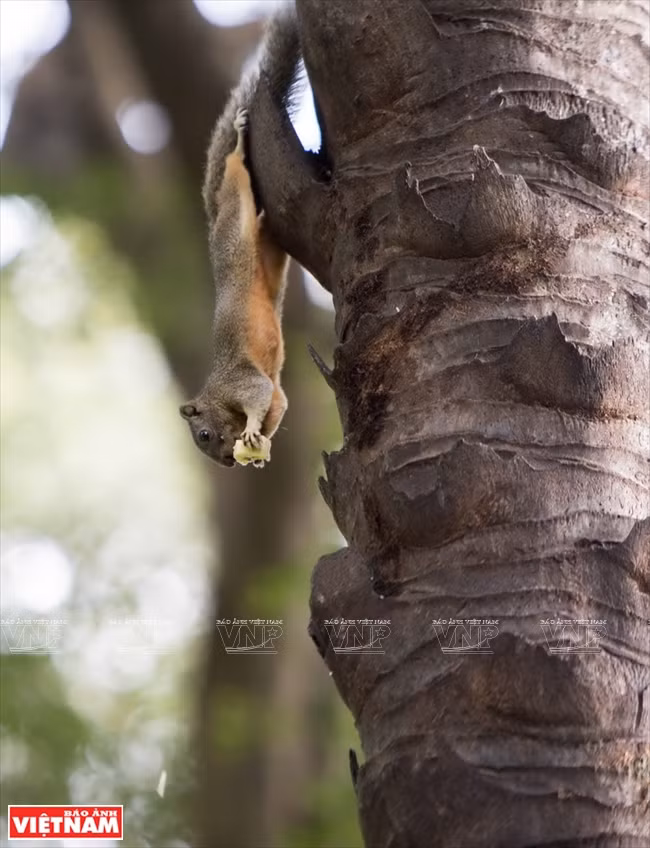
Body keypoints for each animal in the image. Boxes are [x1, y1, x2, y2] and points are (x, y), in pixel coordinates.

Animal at [179, 11, 301, 468]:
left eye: (204, 434)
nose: (229, 462)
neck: (217, 393)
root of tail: (214, 221)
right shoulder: (275, 390)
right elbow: (278, 402)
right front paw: (261, 444)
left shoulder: (242, 382)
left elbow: (259, 396)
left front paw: (250, 430)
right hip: (271, 254)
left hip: (234, 210)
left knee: (234, 169)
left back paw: (237, 134)